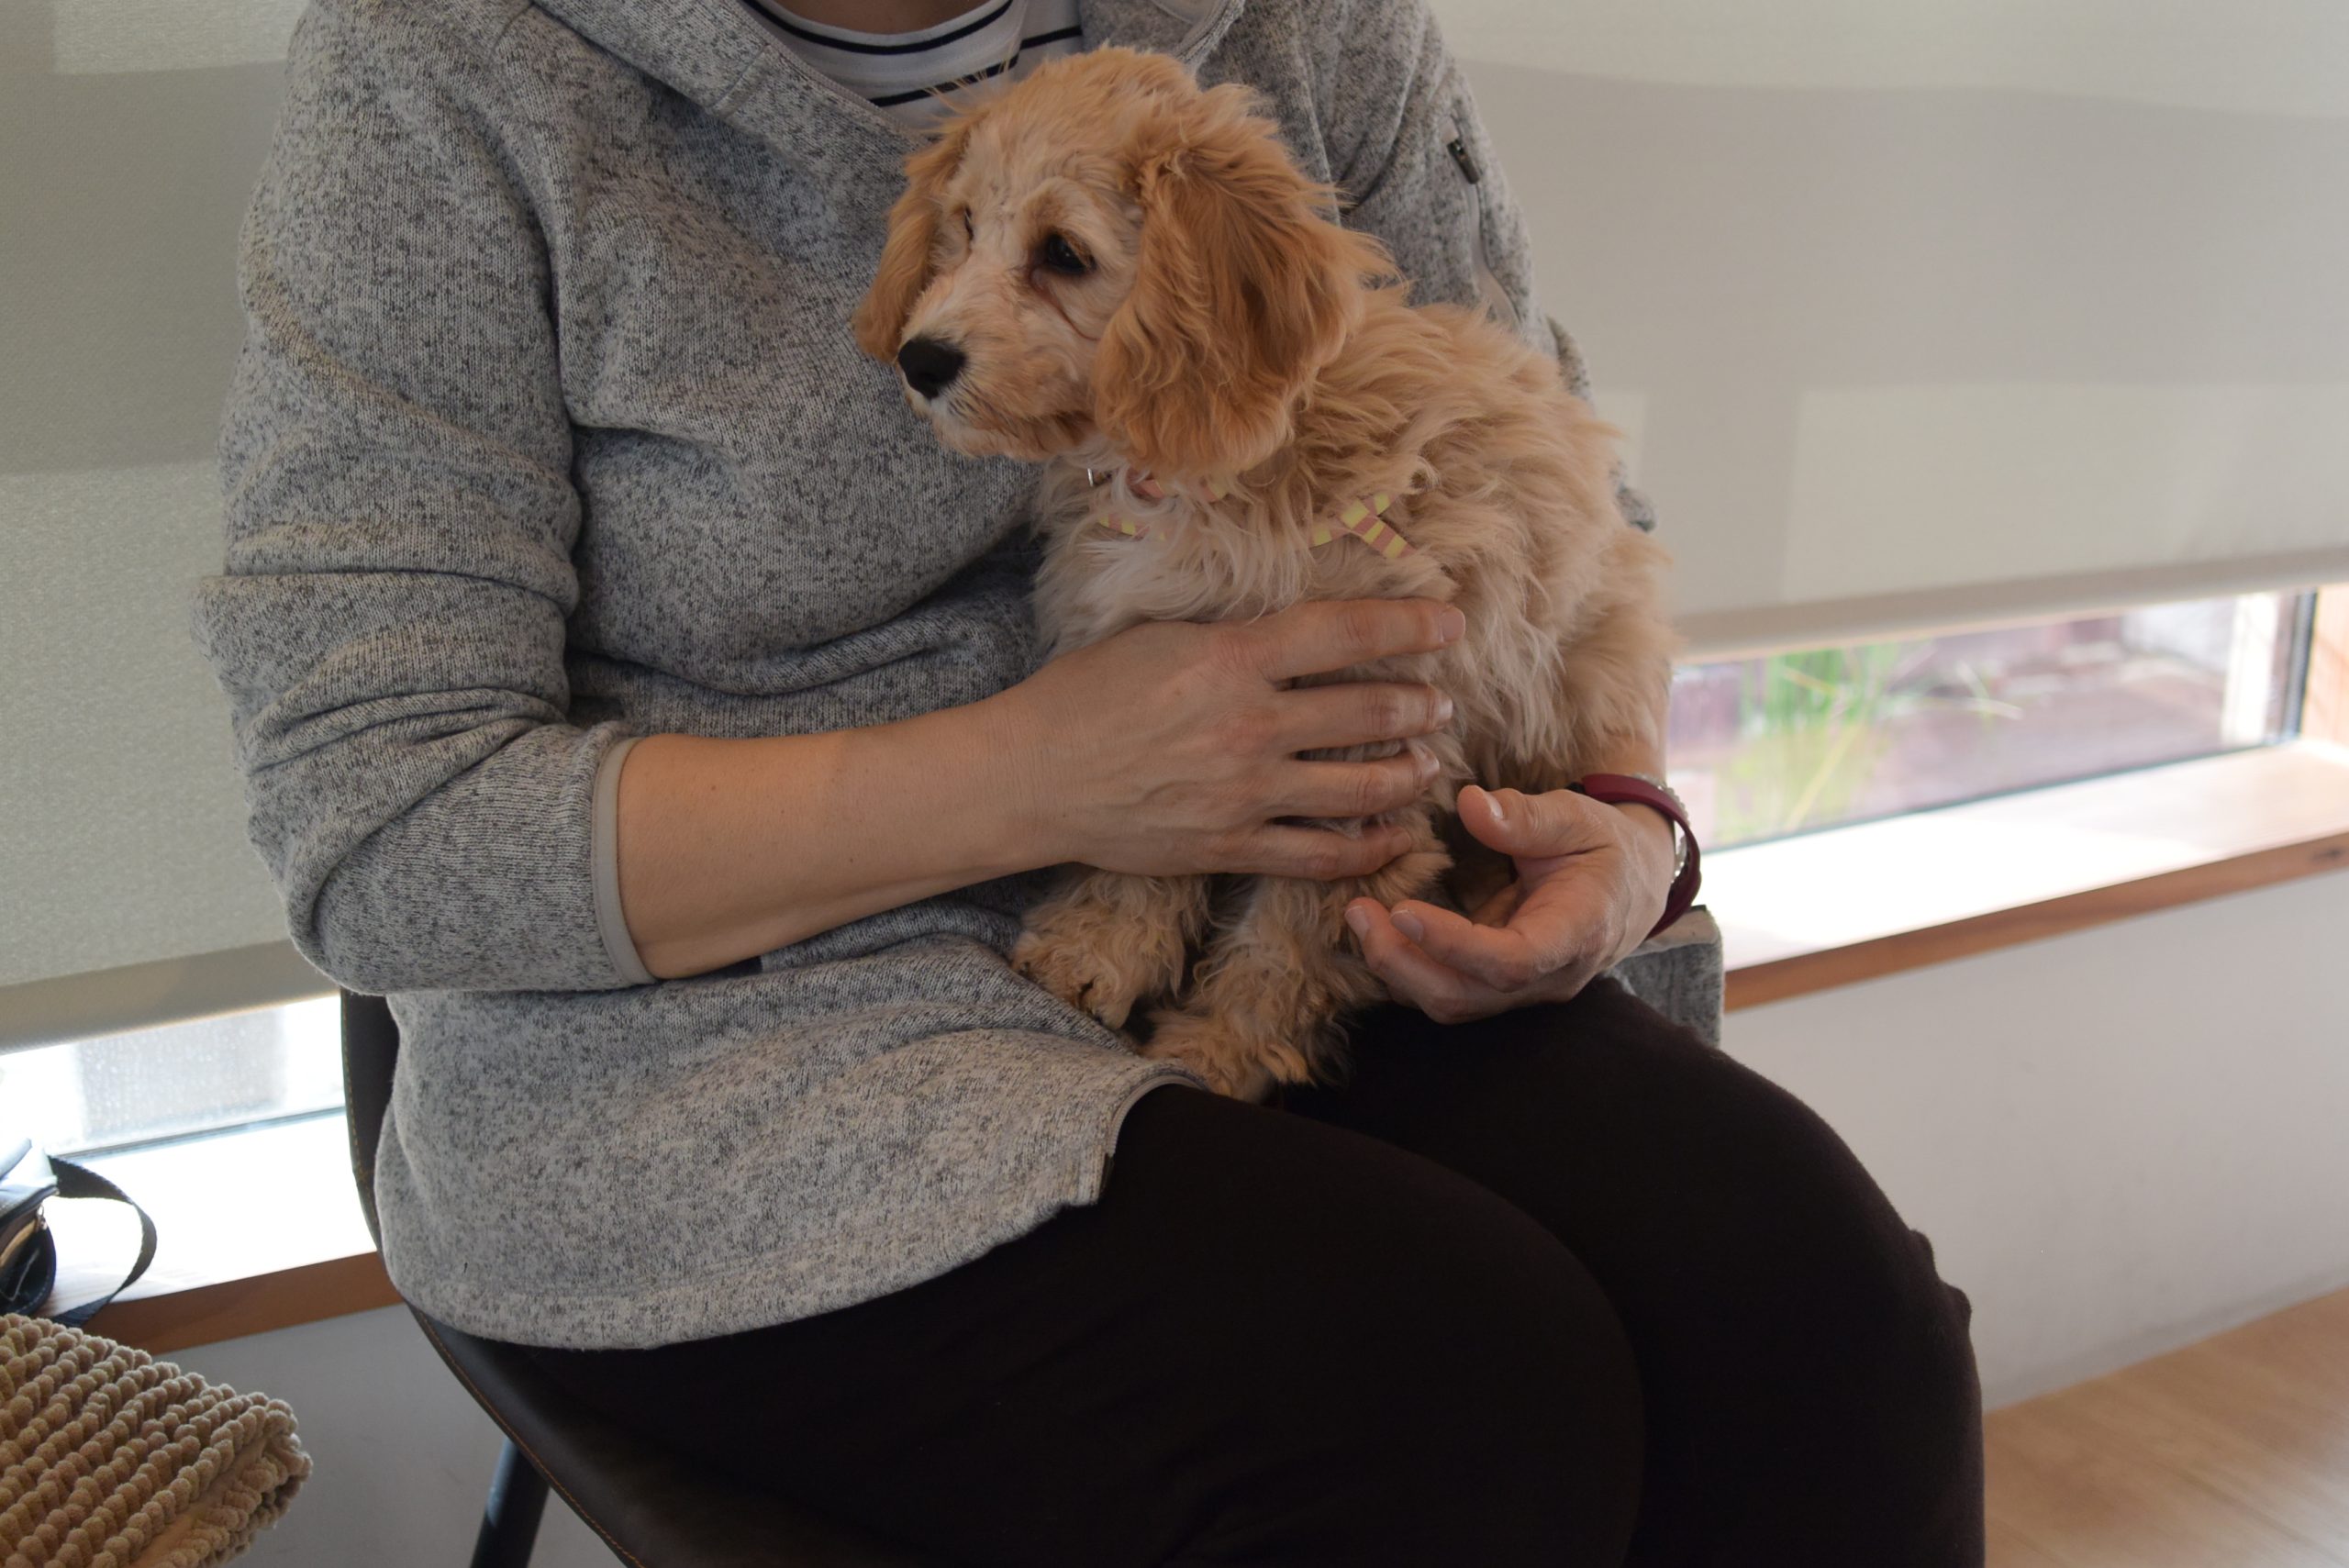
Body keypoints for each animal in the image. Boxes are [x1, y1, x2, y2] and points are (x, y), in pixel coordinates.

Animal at [854, 48, 1675, 1100]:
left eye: (1063, 254)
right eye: (961, 227)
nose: (922, 358)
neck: (1207, 472)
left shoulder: (1366, 747)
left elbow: (1292, 932)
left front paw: (1220, 1049)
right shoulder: (1167, 719)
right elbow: (1145, 850)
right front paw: (1096, 951)